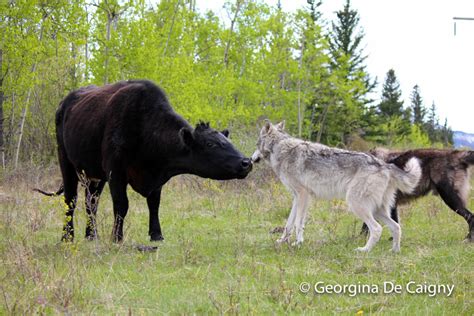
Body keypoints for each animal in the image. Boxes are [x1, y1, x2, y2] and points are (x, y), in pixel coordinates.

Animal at [38, 80, 252, 243]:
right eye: (210, 144)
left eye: (227, 140)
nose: (247, 162)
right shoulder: (116, 171)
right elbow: (121, 205)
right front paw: (117, 237)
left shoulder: (156, 175)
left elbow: (154, 204)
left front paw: (156, 234)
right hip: (66, 162)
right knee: (70, 200)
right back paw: (67, 236)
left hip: (94, 174)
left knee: (91, 202)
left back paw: (92, 236)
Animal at [250, 121, 420, 252]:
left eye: (256, 144)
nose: (251, 159)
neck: (281, 149)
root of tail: (384, 165)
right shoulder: (297, 198)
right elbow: (289, 224)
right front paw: (282, 241)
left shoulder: (303, 195)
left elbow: (298, 223)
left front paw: (298, 243)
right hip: (377, 210)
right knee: (396, 227)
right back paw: (394, 251)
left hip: (356, 204)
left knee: (377, 229)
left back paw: (364, 250)